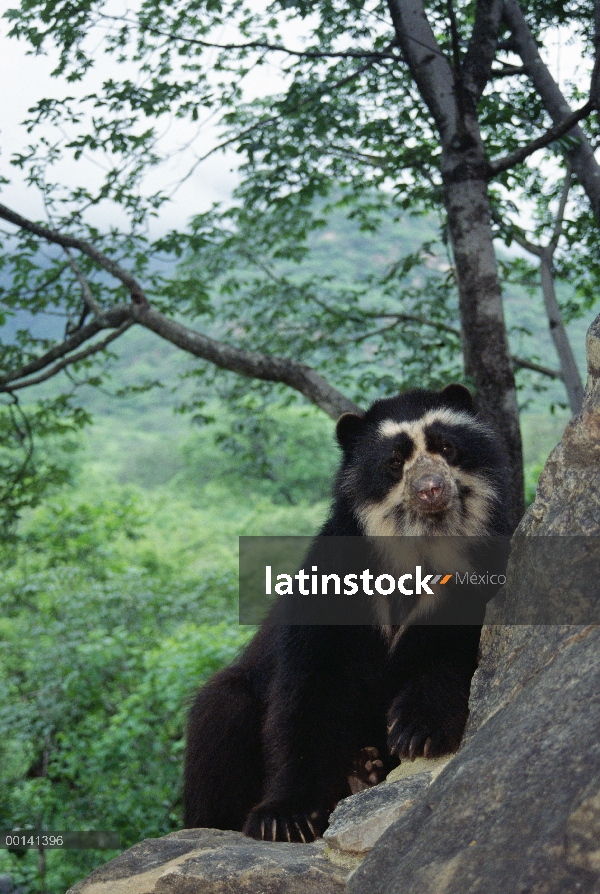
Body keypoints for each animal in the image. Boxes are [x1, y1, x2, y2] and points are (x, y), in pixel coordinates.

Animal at [183, 388, 510, 844]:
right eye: (394, 462)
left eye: (447, 447)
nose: (430, 490)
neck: (421, 546)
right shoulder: (332, 581)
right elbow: (309, 688)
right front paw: (285, 818)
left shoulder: (479, 572)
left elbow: (454, 652)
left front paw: (416, 731)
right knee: (220, 713)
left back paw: (366, 770)